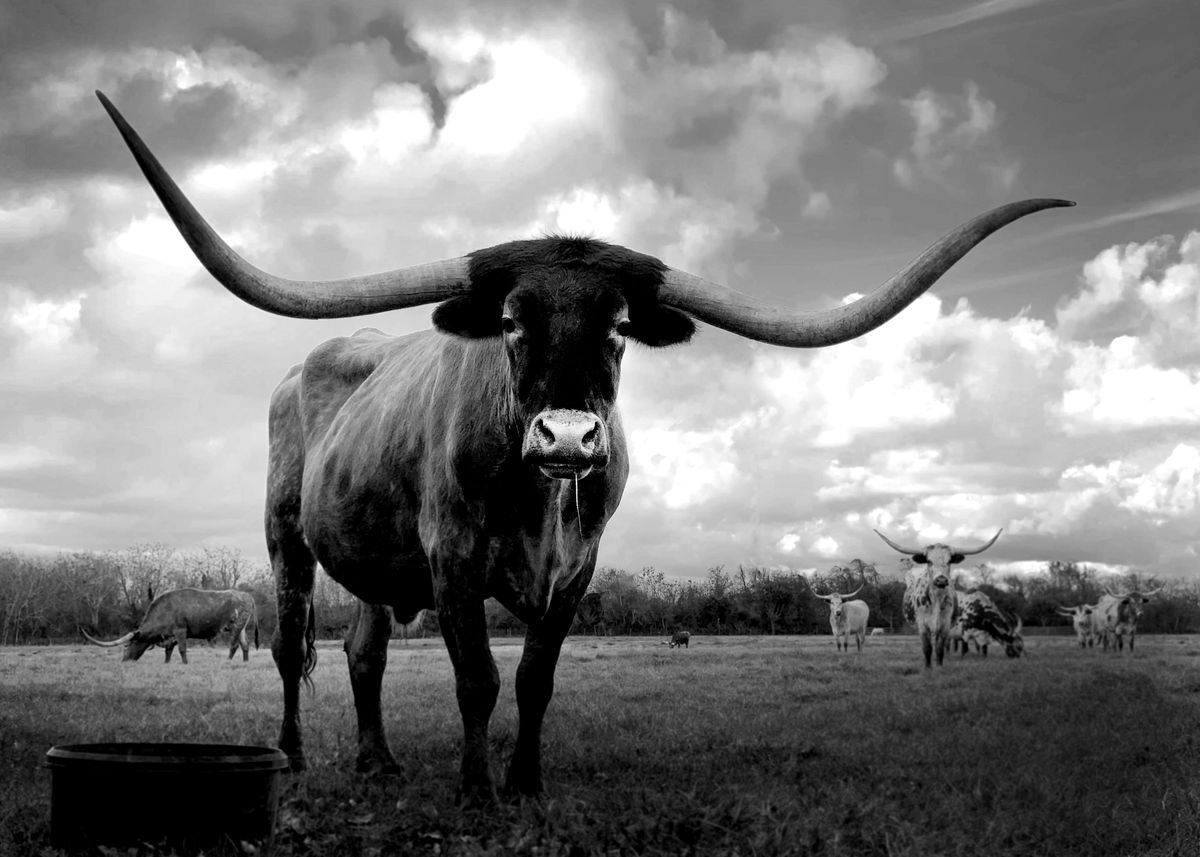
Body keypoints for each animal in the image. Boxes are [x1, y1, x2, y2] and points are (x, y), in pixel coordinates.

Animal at [82, 588, 260, 662]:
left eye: (128, 646)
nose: (124, 661)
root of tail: (247, 595)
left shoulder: (180, 631)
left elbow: (182, 649)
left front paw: (185, 664)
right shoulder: (170, 636)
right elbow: (168, 652)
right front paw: (166, 664)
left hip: (236, 627)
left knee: (234, 645)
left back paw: (227, 661)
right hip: (242, 628)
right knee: (245, 645)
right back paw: (245, 663)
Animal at [878, 528, 998, 667]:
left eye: (949, 561)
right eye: (929, 561)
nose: (941, 580)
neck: (936, 598)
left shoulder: (945, 625)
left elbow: (940, 648)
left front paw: (939, 666)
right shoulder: (922, 625)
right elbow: (927, 648)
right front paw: (928, 667)